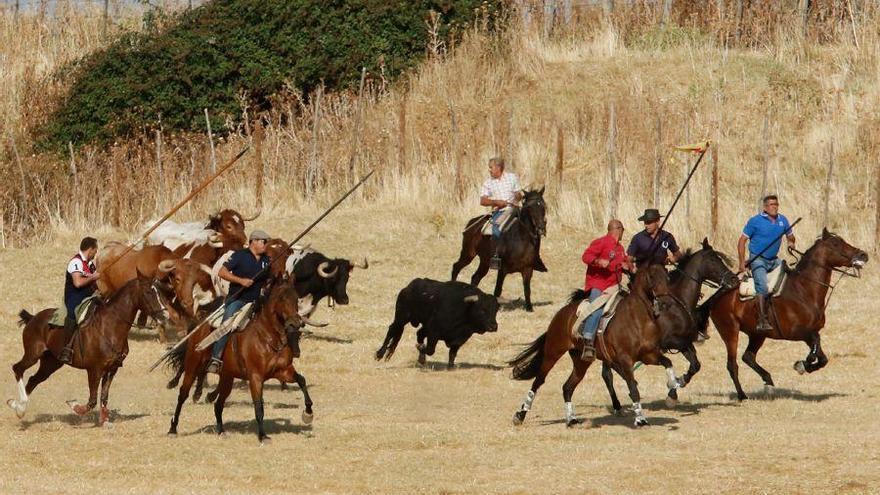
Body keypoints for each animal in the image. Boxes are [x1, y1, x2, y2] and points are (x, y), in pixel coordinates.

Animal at [7, 272, 174, 426]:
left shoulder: (112, 369)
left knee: (33, 380)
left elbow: (104, 397)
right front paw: (74, 405)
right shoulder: (94, 370)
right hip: (33, 354)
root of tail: (33, 318)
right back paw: (17, 404)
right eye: (148, 292)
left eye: (159, 291)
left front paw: (105, 421)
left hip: (51, 363)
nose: (165, 316)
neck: (110, 326)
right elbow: (92, 400)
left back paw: (19, 409)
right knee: (18, 369)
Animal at [165, 278, 316, 444]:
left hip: (227, 377)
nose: (295, 323)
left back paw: (221, 431)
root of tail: (199, 325)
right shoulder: (255, 377)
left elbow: (301, 380)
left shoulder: (283, 371)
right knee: (182, 395)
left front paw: (308, 413)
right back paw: (173, 428)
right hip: (193, 367)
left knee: (218, 404)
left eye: (296, 298)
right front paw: (263, 435)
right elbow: (258, 406)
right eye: (282, 298)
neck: (268, 337)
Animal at [508, 266, 672, 428]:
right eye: (651, 277)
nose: (665, 303)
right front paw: (640, 420)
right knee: (538, 381)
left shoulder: (649, 355)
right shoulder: (626, 360)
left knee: (567, 387)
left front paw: (673, 392)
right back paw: (520, 415)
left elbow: (668, 363)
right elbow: (633, 388)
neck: (638, 317)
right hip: (553, 353)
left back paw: (571, 420)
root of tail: (562, 313)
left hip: (581, 361)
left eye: (667, 277)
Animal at [600, 238, 740, 408]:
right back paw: (618, 404)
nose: (734, 279)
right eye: (713, 260)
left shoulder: (684, 342)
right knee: (607, 374)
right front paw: (673, 389)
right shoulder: (671, 342)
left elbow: (695, 365)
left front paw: (677, 386)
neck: (677, 304)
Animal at [700, 231, 868, 402]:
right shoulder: (797, 333)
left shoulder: (811, 333)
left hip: (757, 334)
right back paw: (742, 395)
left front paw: (805, 365)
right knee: (732, 364)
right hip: (730, 331)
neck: (804, 290)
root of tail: (717, 296)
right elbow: (815, 347)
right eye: (835, 244)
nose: (863, 255)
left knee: (748, 356)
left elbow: (822, 357)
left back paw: (767, 378)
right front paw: (802, 364)